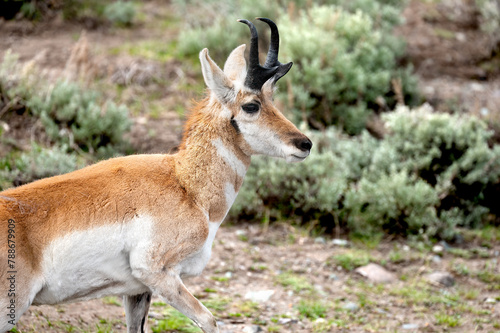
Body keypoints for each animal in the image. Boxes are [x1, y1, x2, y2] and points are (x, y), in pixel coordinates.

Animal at [0, 18, 312, 332]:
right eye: (251, 105)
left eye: (272, 99)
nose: (305, 144)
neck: (185, 184)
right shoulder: (155, 272)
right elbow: (209, 320)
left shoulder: (137, 291)